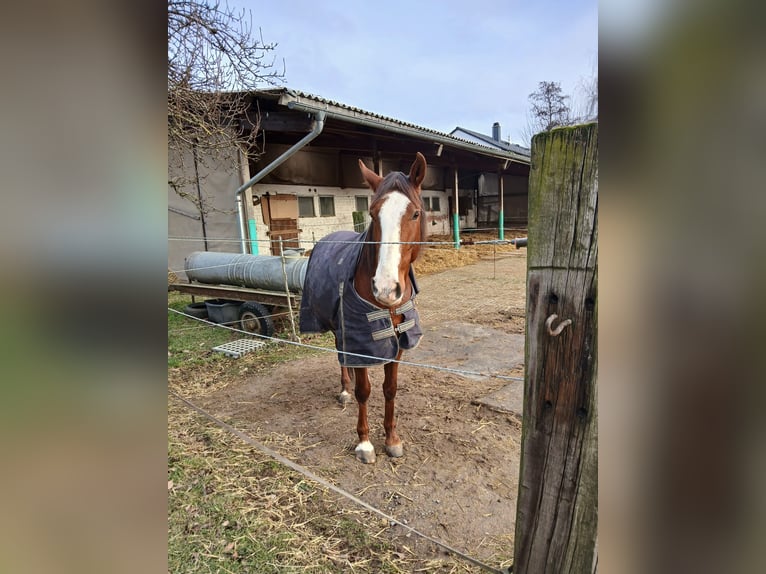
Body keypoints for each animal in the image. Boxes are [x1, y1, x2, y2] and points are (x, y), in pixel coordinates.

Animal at [300, 152, 428, 464]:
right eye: (372, 214)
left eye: (415, 213)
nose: (385, 288)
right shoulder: (360, 342)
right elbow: (364, 391)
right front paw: (365, 443)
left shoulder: (398, 343)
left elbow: (390, 390)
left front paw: (392, 439)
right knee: (341, 358)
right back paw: (344, 390)